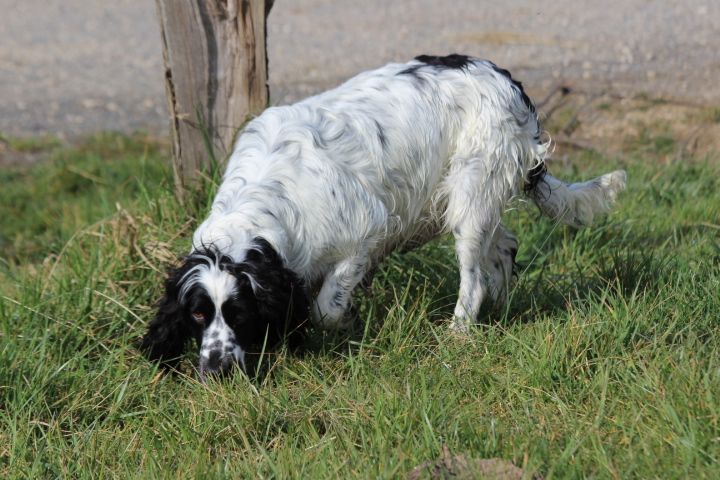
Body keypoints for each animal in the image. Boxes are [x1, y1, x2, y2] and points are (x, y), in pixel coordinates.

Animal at [141, 55, 624, 378]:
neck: (263, 205)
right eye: (198, 315)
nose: (214, 369)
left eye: (239, 313)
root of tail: (506, 79)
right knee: (503, 248)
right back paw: (502, 308)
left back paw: (458, 333)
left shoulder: (364, 237)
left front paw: (345, 323)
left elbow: (325, 307)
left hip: (470, 195)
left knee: (473, 279)